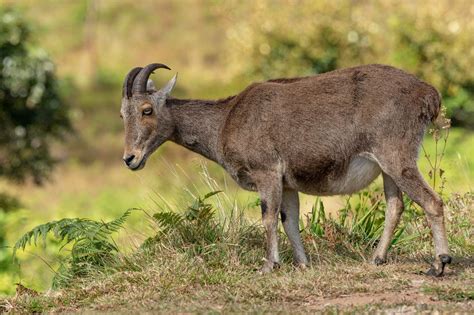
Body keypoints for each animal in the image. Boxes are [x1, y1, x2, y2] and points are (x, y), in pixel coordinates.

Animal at [119, 63, 452, 276]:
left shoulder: (266, 172)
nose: (130, 159)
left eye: (147, 110)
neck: (225, 121)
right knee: (396, 205)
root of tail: (428, 94)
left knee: (432, 201)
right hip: (387, 167)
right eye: (123, 114)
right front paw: (303, 264)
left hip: (396, 155)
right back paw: (377, 259)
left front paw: (269, 265)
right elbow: (289, 220)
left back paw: (439, 264)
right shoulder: (288, 182)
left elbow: (268, 218)